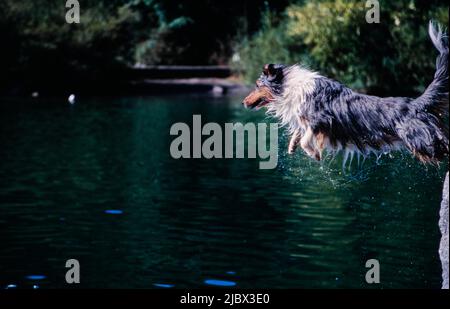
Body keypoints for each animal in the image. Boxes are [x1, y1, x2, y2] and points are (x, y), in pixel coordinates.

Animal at [244, 22, 448, 164]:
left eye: (257, 85)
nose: (244, 103)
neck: (288, 85)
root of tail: (416, 104)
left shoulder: (323, 119)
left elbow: (307, 138)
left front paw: (314, 154)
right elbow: (299, 132)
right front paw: (292, 146)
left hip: (422, 141)